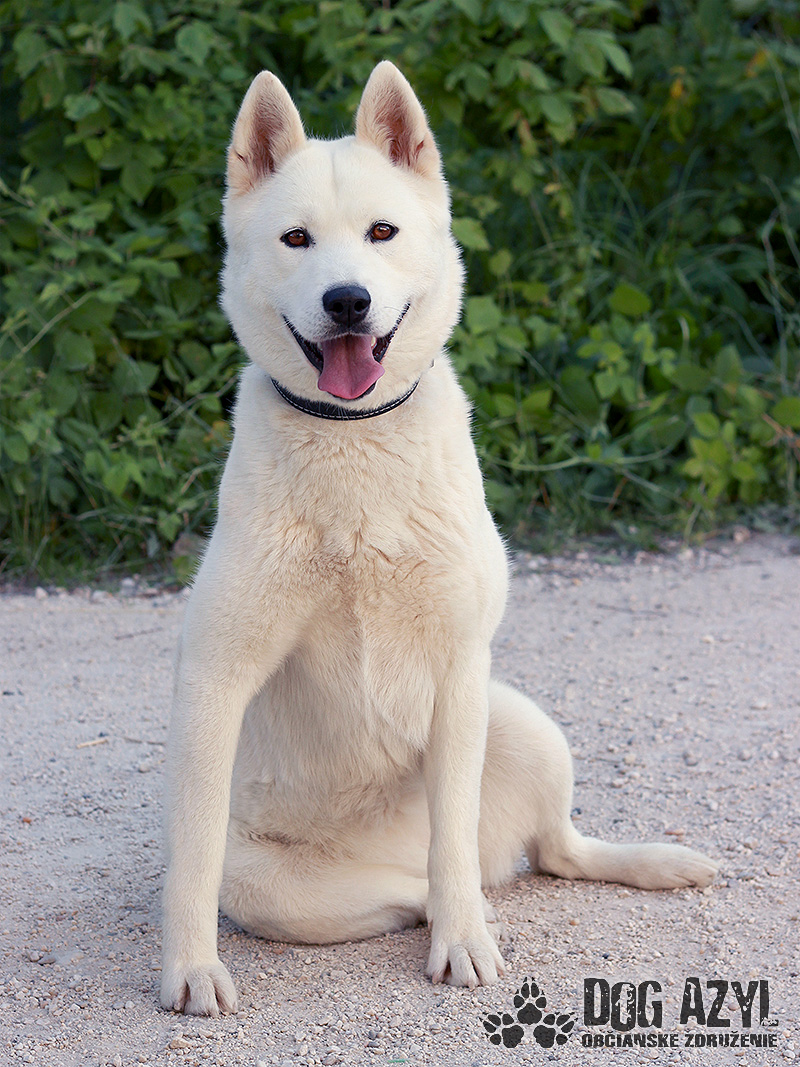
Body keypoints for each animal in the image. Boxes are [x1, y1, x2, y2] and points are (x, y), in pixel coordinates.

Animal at [160, 61, 717, 1017]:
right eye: (297, 239)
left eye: (382, 232)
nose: (348, 301)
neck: (353, 439)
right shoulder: (215, 679)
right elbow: (190, 854)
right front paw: (190, 968)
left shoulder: (461, 672)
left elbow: (452, 837)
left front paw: (465, 947)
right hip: (268, 883)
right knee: (424, 884)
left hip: (521, 719)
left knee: (537, 852)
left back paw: (635, 868)